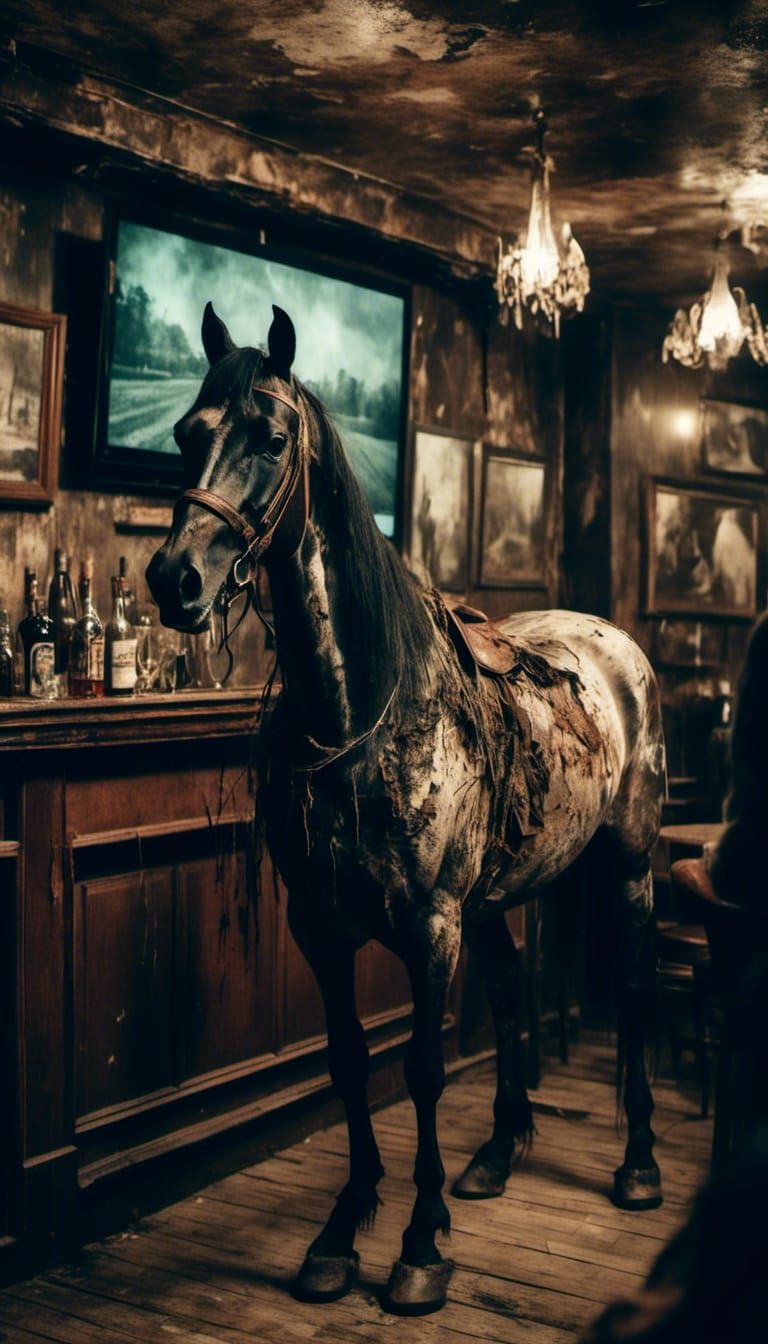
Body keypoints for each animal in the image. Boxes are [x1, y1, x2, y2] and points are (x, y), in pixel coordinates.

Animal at [147, 303, 666, 1317]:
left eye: (271, 439)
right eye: (188, 433)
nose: (174, 580)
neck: (362, 715)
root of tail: (612, 641)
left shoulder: (430, 925)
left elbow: (421, 1068)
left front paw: (421, 1245)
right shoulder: (321, 927)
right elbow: (351, 1063)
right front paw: (342, 1233)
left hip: (628, 863)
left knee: (632, 990)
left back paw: (637, 1166)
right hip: (499, 899)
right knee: (508, 992)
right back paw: (497, 1155)